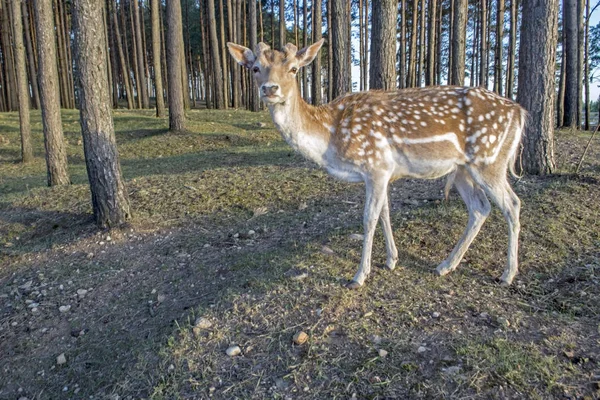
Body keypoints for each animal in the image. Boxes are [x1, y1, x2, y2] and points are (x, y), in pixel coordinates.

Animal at [227, 39, 528, 290]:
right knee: (480, 208)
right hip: (462, 168)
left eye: (293, 69)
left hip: (489, 159)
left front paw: (359, 275)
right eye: (255, 68)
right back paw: (445, 265)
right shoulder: (383, 172)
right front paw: (391, 260)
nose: (270, 89)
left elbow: (369, 217)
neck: (331, 138)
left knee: (512, 204)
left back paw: (507, 274)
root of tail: (520, 112)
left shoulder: (376, 165)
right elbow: (385, 212)